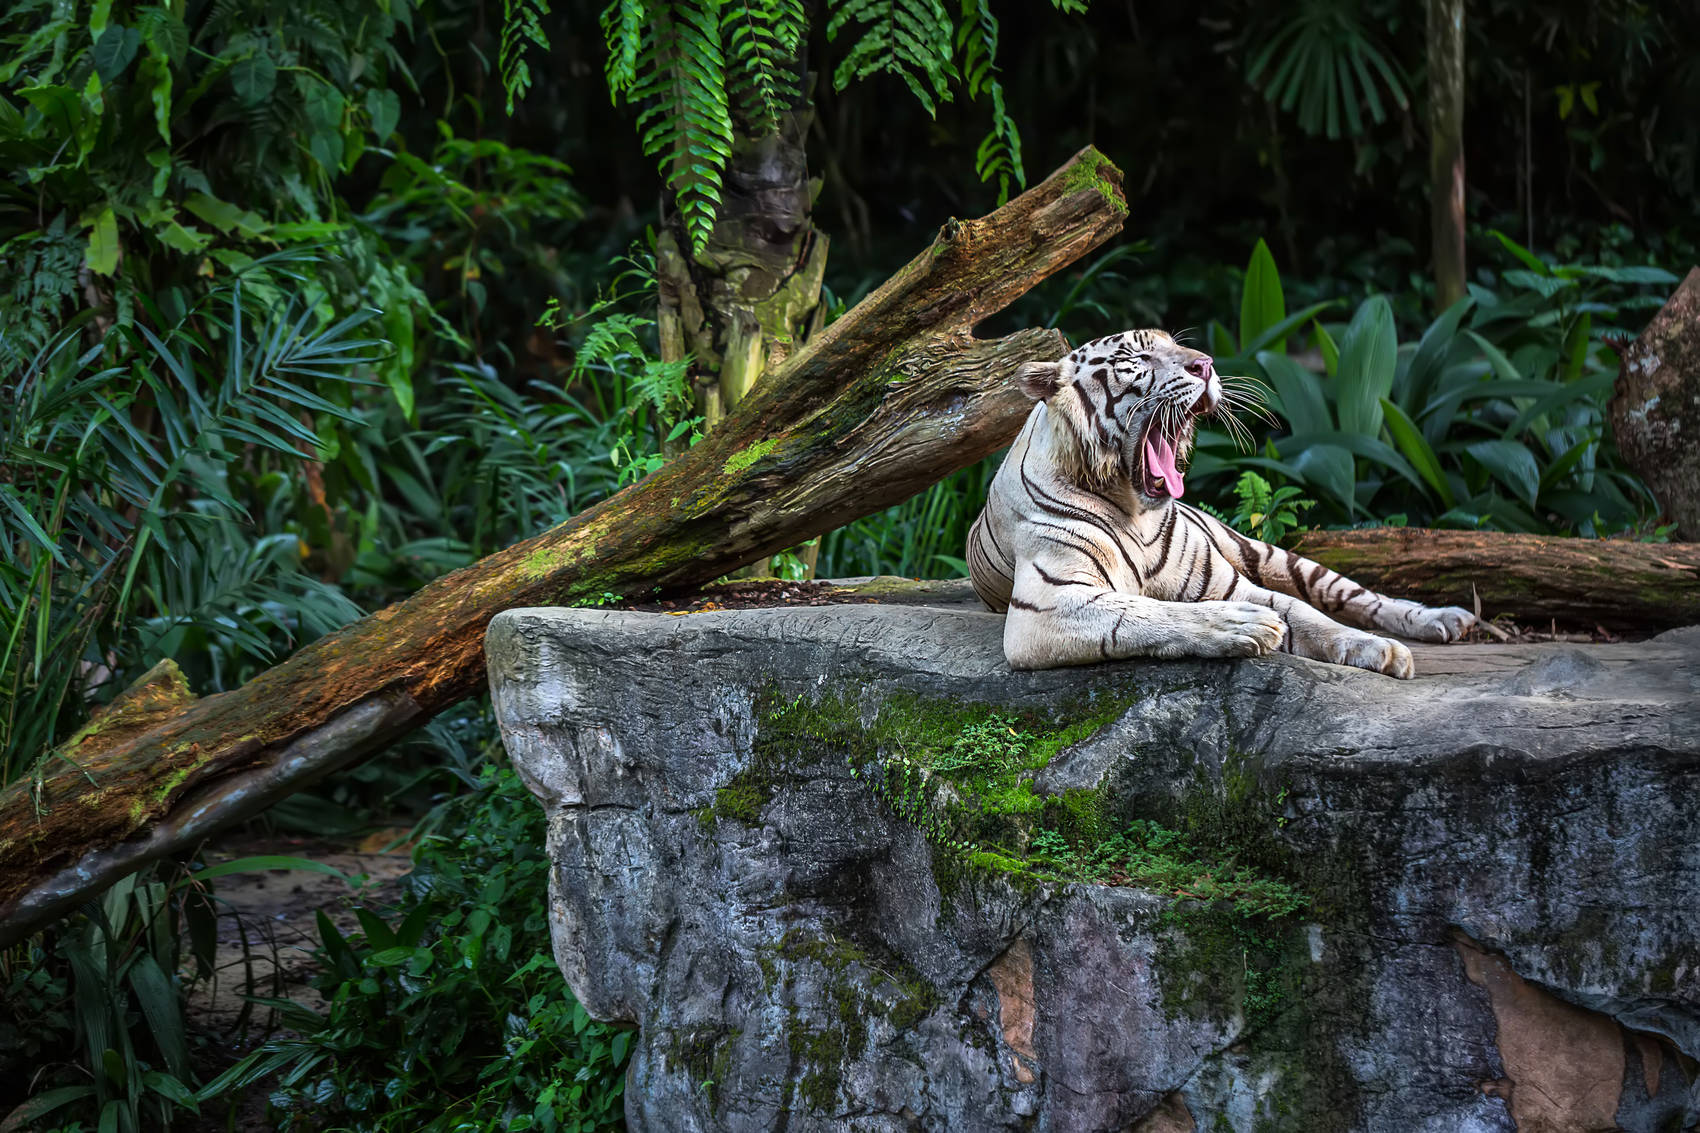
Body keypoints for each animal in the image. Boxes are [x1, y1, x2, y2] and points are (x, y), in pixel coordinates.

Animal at [972, 331, 1475, 673]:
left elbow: (1308, 615)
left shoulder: (1231, 583)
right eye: (1136, 358)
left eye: (1177, 344)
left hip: (1266, 552)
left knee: (1355, 595)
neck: (1135, 510)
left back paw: (1444, 619)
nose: (1206, 365)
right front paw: (1245, 626)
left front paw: (1379, 649)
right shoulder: (1047, 604)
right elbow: (1148, 611)